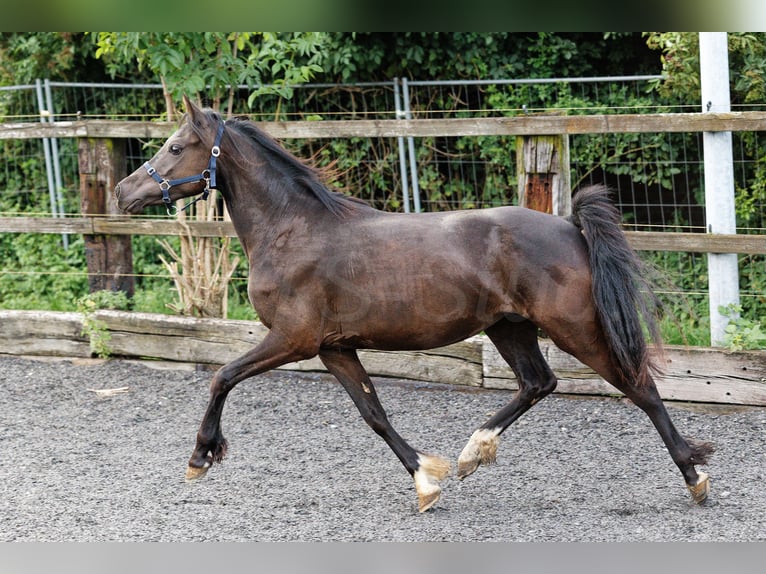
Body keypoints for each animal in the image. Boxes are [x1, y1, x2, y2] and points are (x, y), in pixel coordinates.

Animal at [114, 98, 712, 512]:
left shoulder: (292, 339)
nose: (123, 193)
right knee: (537, 383)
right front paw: (427, 481)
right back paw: (472, 453)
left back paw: (696, 476)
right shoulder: (334, 348)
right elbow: (374, 414)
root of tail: (570, 227)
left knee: (639, 386)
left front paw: (200, 458)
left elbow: (222, 377)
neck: (291, 230)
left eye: (175, 147)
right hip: (509, 327)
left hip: (575, 327)